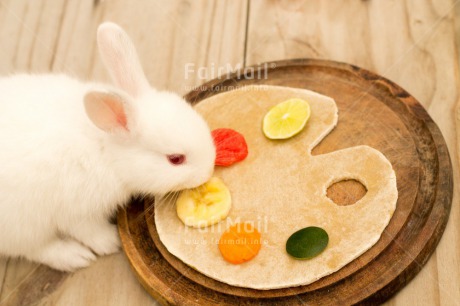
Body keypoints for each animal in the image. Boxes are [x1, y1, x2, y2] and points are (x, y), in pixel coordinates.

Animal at [0, 22, 216, 270]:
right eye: (176, 159)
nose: (209, 171)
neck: (108, 151)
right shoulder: (77, 211)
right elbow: (90, 232)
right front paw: (112, 242)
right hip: (21, 226)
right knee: (36, 249)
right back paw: (75, 256)